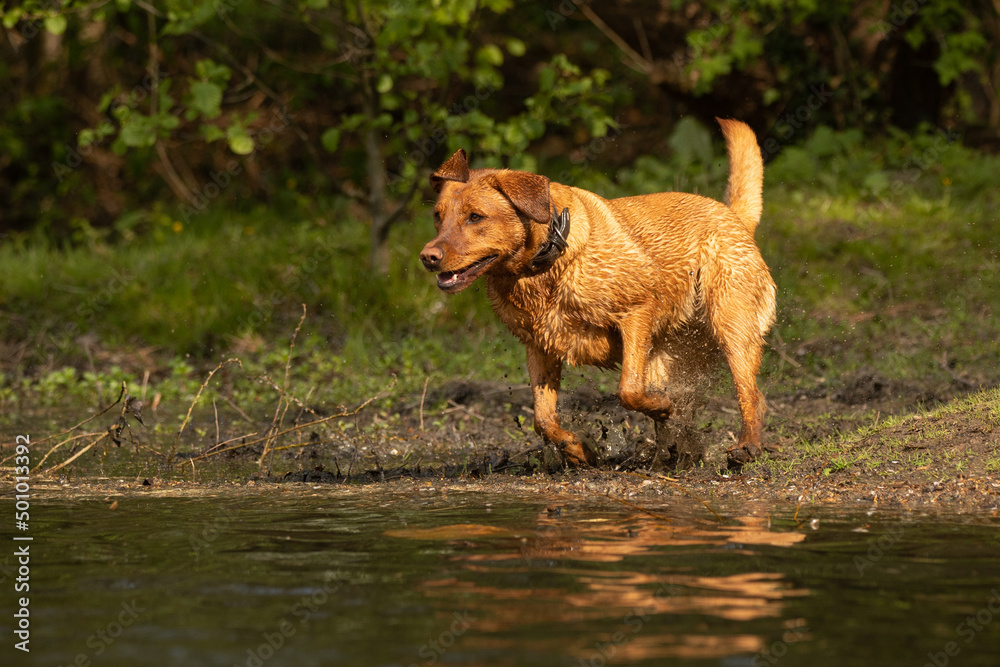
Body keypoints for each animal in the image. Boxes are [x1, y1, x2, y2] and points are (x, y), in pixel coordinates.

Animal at [418, 120, 776, 470]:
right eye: (437, 216)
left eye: (475, 217)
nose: (427, 257)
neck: (546, 264)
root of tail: (733, 215)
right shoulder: (539, 345)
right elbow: (542, 418)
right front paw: (577, 450)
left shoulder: (637, 311)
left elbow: (628, 390)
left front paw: (662, 406)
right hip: (669, 352)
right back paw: (670, 454)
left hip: (731, 326)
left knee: (753, 395)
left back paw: (746, 446)